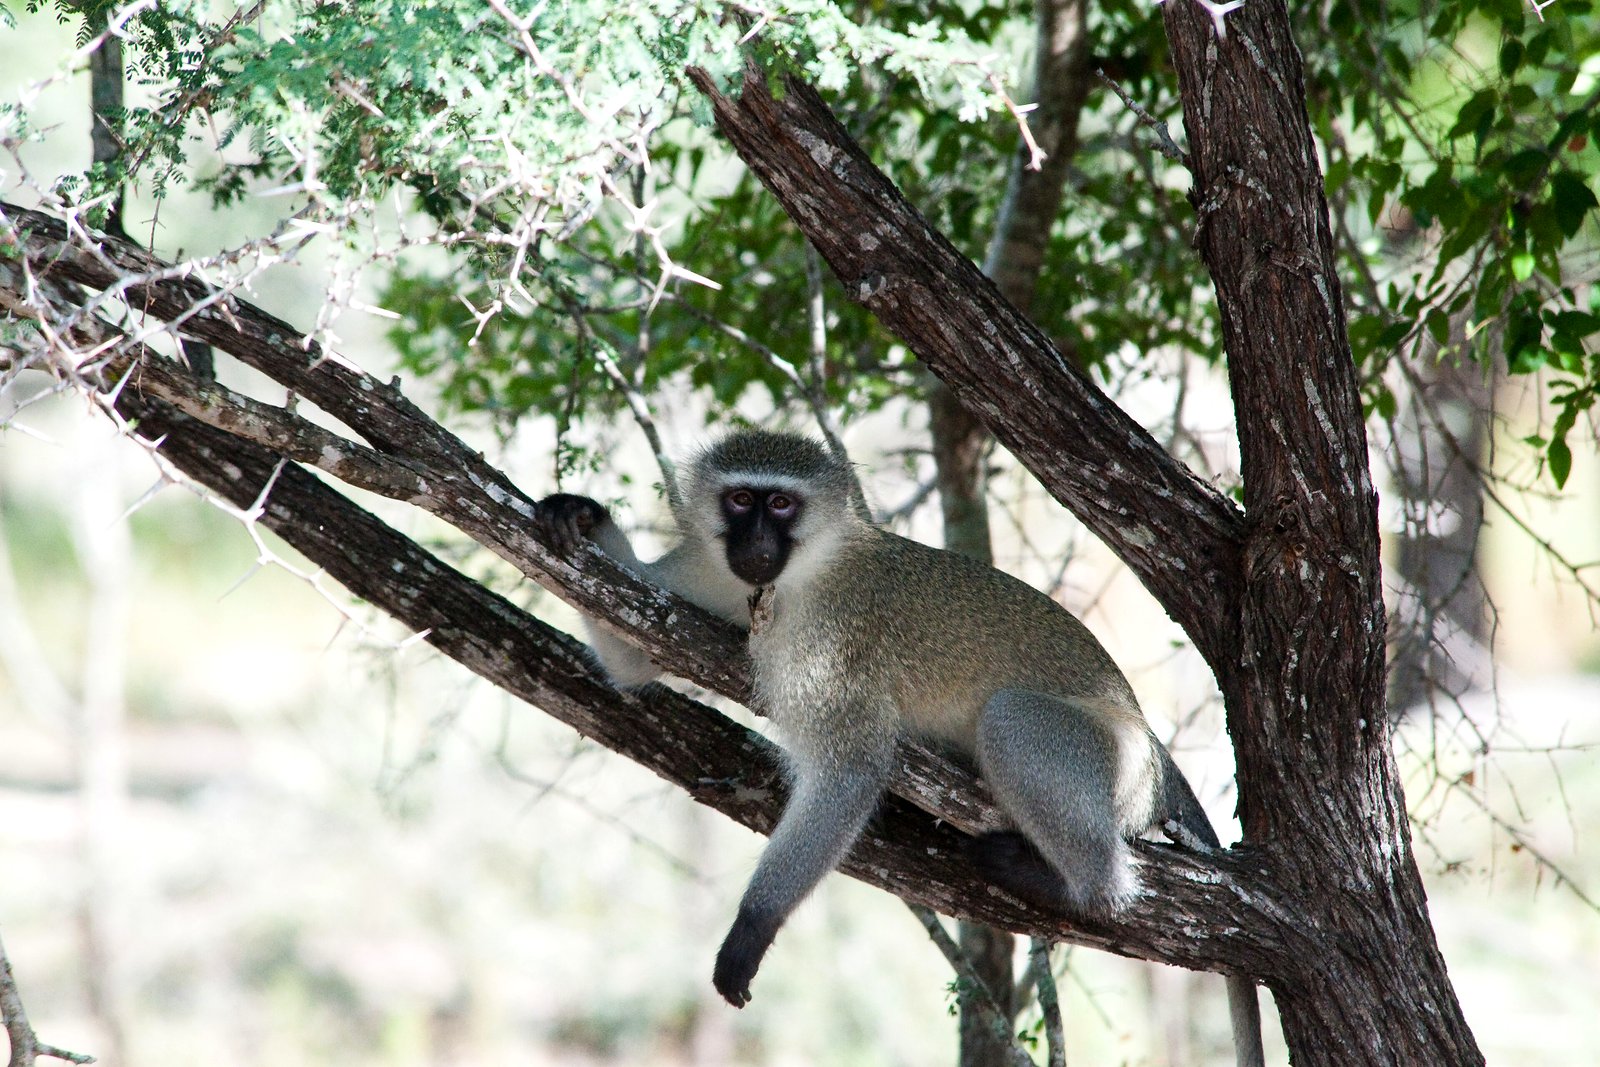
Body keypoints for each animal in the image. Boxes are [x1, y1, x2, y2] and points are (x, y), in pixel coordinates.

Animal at [536, 429, 1265, 1067]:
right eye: (741, 499)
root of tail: (1152, 748)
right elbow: (632, 656)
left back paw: (1084, 885)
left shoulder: (834, 644)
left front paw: (752, 928)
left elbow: (851, 770)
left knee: (1014, 724)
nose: (757, 541)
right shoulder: (707, 569)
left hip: (1115, 761)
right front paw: (581, 515)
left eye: (782, 504)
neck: (796, 576)